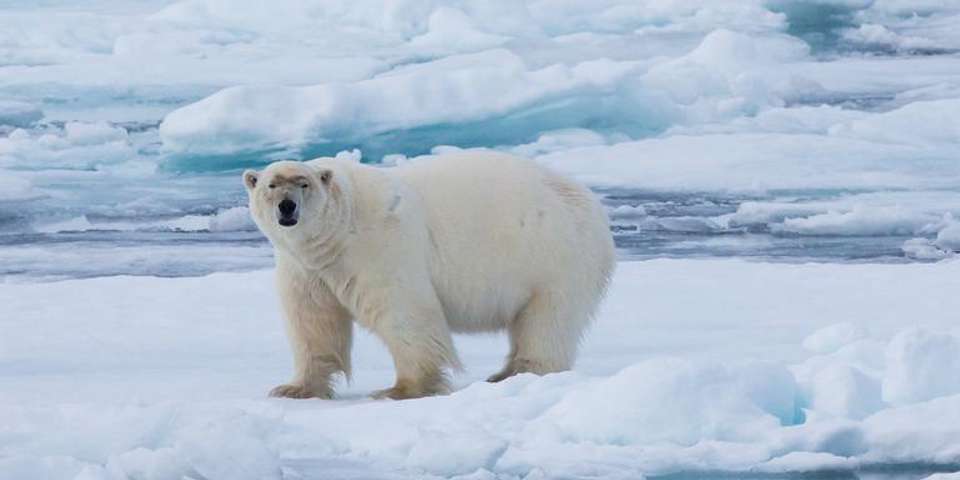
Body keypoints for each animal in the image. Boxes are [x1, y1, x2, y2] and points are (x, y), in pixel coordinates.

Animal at [243, 150, 615, 400]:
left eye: (303, 183)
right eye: (271, 184)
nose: (287, 207)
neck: (340, 229)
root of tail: (592, 204)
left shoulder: (379, 247)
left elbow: (404, 313)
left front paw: (401, 389)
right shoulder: (306, 267)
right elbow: (313, 322)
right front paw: (294, 388)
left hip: (555, 258)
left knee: (547, 320)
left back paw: (519, 371)